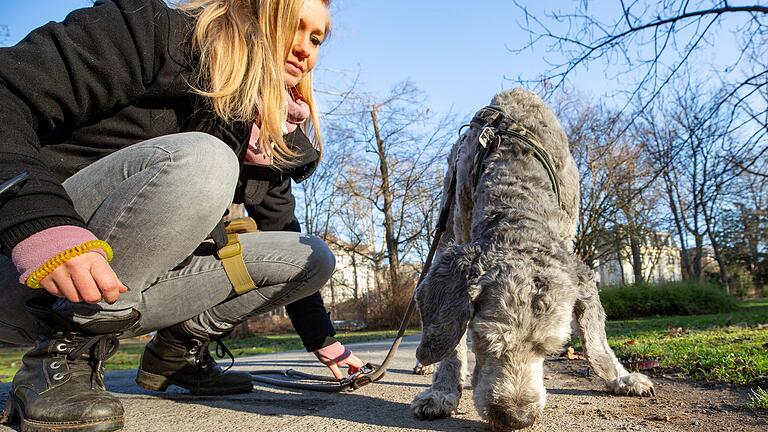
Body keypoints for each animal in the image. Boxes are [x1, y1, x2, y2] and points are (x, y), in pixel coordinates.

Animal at [412, 88, 652, 432]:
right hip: (445, 220)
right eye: (483, 339)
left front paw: (619, 377)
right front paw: (442, 392)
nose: (516, 418)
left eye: (550, 348)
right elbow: (451, 339)